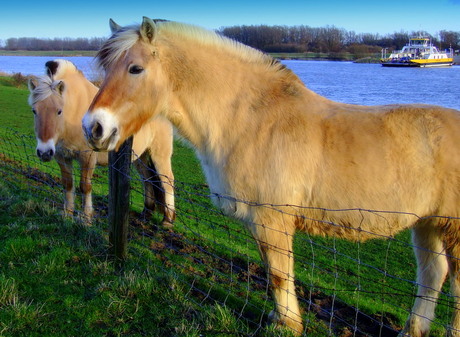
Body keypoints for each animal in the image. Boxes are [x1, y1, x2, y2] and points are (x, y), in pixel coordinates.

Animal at [28, 58, 175, 226]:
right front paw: (67, 214)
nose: (44, 152)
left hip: (160, 155)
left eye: (59, 111)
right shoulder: (62, 156)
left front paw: (86, 218)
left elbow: (85, 186)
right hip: (140, 157)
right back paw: (146, 213)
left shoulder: (87, 157)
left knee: (167, 181)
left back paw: (167, 221)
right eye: (34, 110)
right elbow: (68, 184)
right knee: (147, 179)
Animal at [82, 18, 460, 336]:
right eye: (107, 68)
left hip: (451, 228)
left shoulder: (272, 219)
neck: (253, 120)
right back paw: (412, 330)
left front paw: (286, 324)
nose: (93, 127)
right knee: (433, 274)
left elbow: (279, 274)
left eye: (136, 68)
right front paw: (280, 318)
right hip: (427, 223)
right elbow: (272, 271)